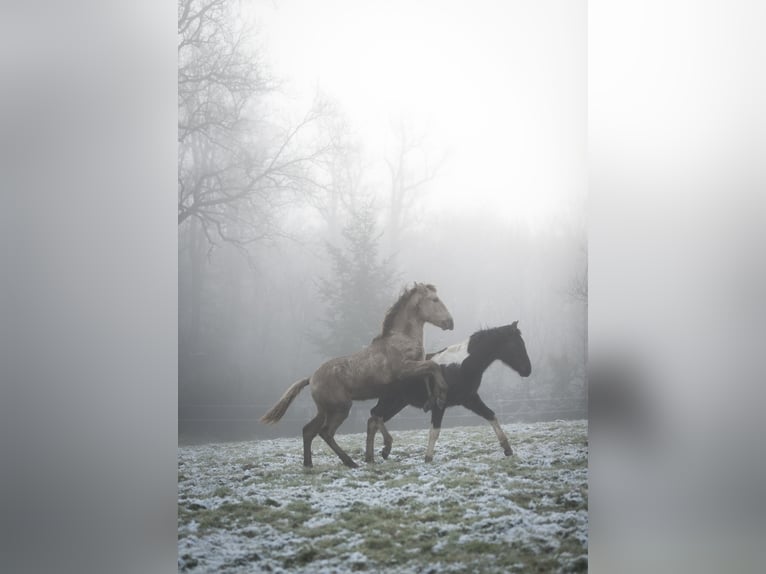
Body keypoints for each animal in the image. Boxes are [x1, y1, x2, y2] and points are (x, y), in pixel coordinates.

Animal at [264, 284, 456, 468]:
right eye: (435, 299)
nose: (450, 322)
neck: (401, 339)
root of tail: (311, 378)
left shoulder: (412, 371)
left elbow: (428, 373)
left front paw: (431, 400)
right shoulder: (404, 370)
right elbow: (433, 367)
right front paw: (442, 394)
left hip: (325, 410)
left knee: (308, 431)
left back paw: (309, 464)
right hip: (341, 408)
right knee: (326, 432)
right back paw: (350, 462)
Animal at [366, 322, 536, 466]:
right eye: (517, 345)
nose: (527, 370)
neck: (460, 365)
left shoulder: (470, 399)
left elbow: (491, 415)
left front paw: (507, 448)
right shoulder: (439, 405)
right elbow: (434, 431)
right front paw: (428, 458)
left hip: (397, 402)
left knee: (374, 419)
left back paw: (373, 456)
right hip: (390, 400)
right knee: (375, 416)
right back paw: (382, 450)